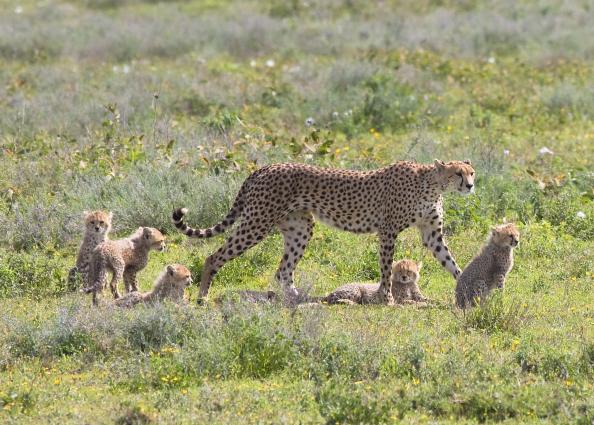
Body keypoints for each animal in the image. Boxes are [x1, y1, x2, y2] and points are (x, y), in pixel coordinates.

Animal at [171, 157, 472, 304]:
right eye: (457, 173)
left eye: (472, 172)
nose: (470, 186)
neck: (432, 185)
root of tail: (265, 167)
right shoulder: (387, 231)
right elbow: (386, 270)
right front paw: (386, 298)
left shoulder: (431, 234)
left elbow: (452, 262)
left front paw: (468, 289)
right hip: (257, 222)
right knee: (214, 257)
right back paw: (203, 296)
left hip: (300, 228)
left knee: (283, 271)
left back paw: (297, 299)